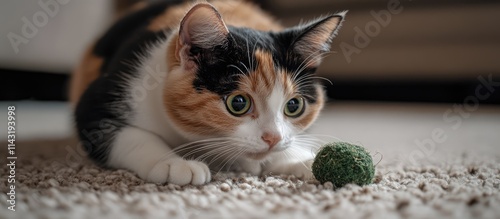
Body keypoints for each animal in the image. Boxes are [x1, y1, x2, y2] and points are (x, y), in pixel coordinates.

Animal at [69, 0, 344, 185]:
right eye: (238, 103)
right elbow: (132, 136)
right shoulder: (104, 99)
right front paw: (172, 163)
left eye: (294, 106)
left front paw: (303, 158)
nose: (273, 138)